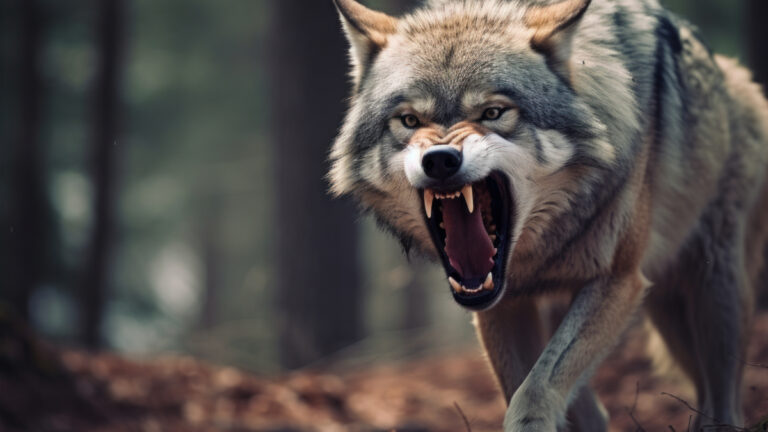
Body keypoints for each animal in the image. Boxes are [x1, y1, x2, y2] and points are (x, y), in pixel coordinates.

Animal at [328, 0, 768, 430]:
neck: (536, 254)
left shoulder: (620, 280)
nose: (439, 160)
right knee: (597, 412)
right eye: (409, 120)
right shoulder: (503, 305)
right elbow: (522, 387)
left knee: (723, 407)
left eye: (493, 112)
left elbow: (534, 393)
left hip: (717, 295)